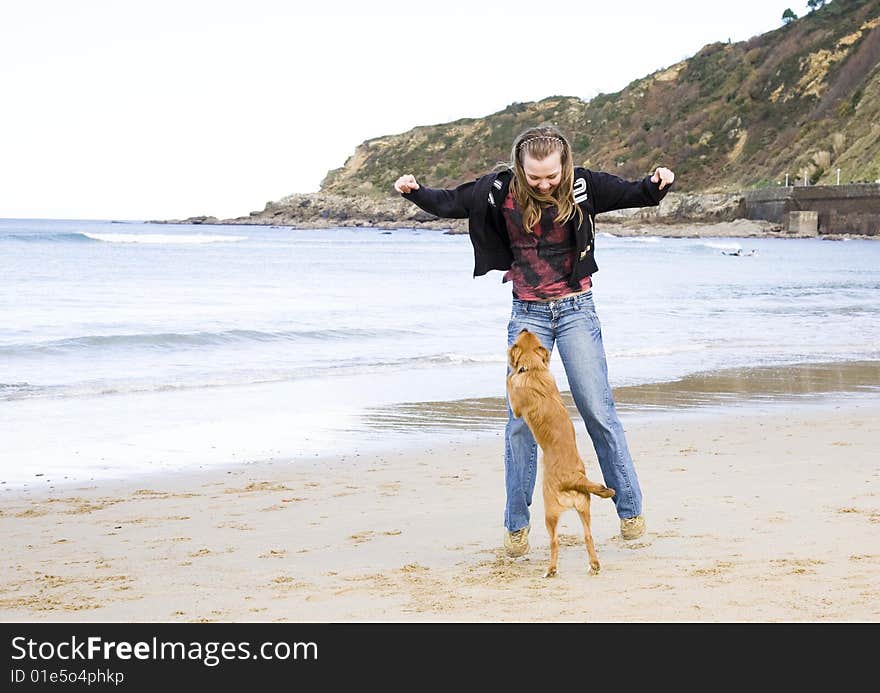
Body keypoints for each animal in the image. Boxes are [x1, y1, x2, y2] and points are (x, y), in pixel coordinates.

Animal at [506, 328, 616, 576]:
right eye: (531, 335)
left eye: (520, 338)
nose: (524, 328)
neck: (534, 370)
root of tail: (574, 480)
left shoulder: (516, 405)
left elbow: (510, 383)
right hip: (584, 508)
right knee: (588, 536)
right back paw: (594, 565)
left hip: (551, 512)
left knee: (554, 541)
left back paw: (551, 570)